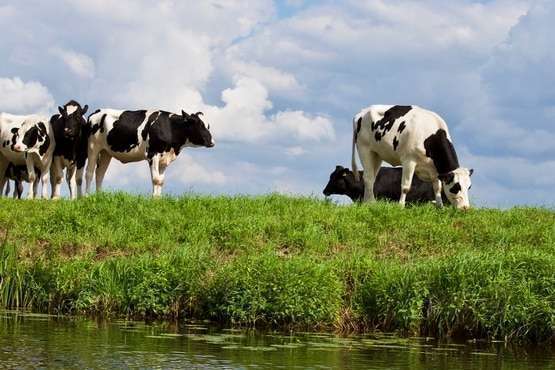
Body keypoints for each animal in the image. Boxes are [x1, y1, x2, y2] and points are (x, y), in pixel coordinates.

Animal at [85, 109, 215, 197]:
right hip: (93, 147)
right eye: (199, 125)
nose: (212, 142)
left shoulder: (164, 159)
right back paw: (86, 196)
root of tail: (97, 112)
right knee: (89, 173)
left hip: (106, 152)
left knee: (100, 174)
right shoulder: (153, 154)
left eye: (208, 125)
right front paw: (154, 199)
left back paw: (99, 196)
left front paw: (158, 199)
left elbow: (161, 181)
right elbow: (156, 179)